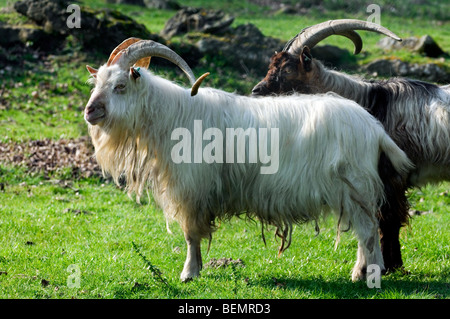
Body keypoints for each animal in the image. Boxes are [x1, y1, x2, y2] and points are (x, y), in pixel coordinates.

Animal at [86, 38, 414, 282]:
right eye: (96, 83)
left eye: (120, 86)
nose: (90, 111)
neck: (174, 115)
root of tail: (374, 128)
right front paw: (196, 269)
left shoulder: (192, 190)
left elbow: (191, 236)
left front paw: (189, 273)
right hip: (354, 193)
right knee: (364, 233)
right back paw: (360, 272)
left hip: (356, 188)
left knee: (369, 232)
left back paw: (368, 276)